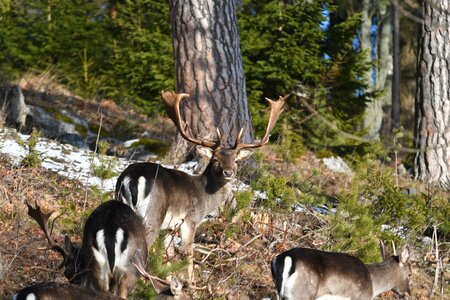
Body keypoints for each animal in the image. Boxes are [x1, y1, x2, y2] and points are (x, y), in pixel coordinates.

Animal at [116, 90, 284, 282]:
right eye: (216, 159)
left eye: (235, 160)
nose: (228, 172)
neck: (206, 196)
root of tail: (131, 178)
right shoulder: (191, 219)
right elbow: (188, 254)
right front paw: (191, 283)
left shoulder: (169, 227)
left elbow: (169, 256)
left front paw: (171, 279)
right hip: (151, 215)